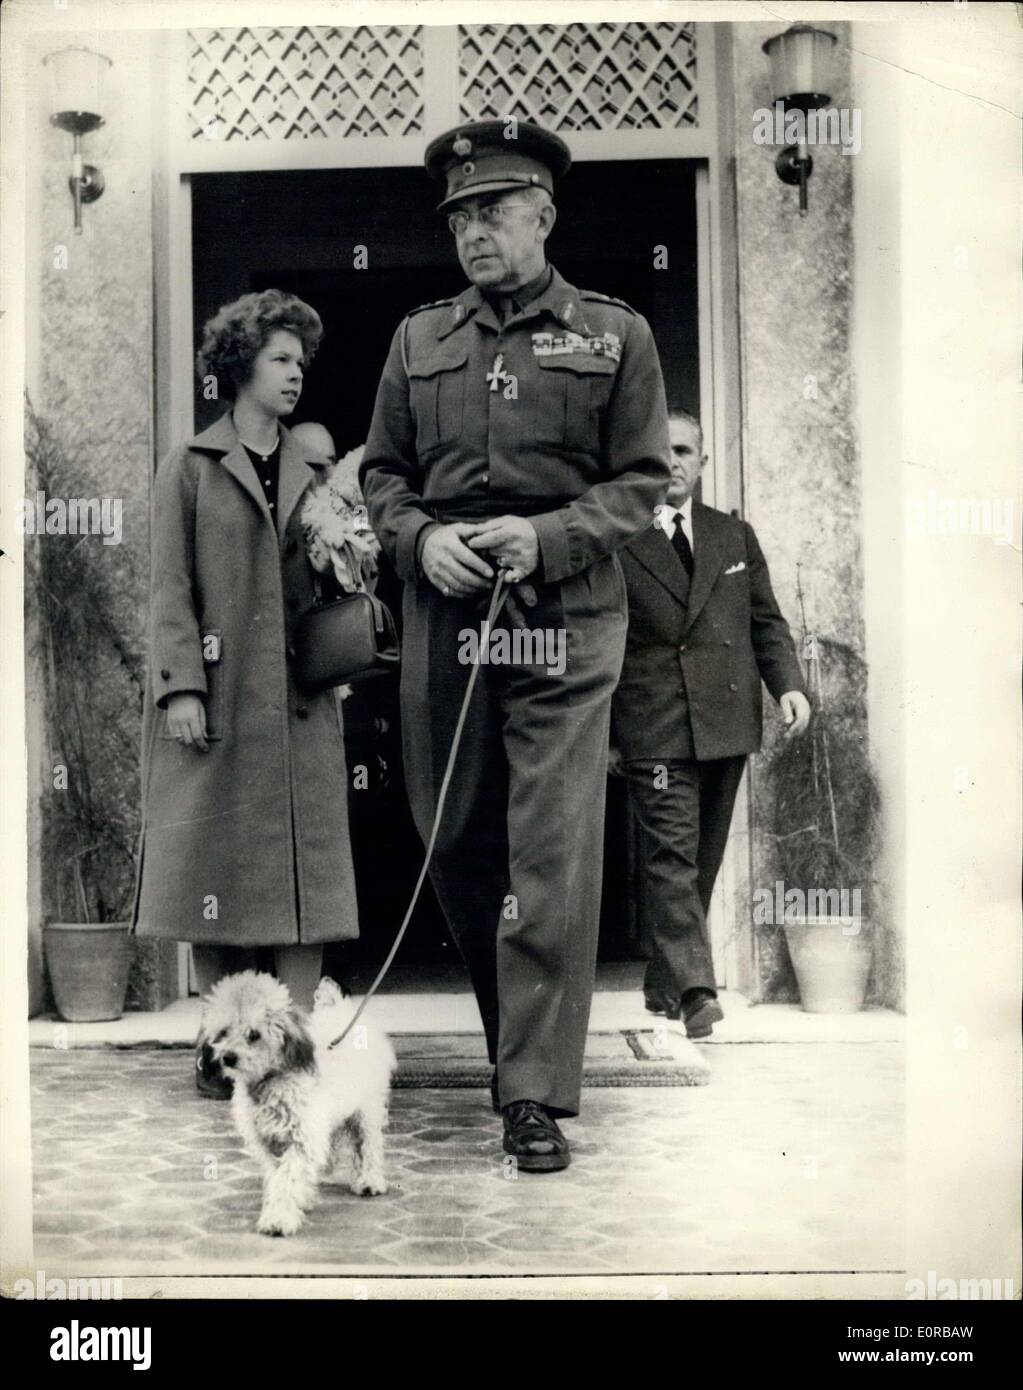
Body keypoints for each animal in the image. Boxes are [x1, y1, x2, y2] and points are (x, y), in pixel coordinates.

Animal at [201, 973, 394, 1234]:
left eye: (254, 1034)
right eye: (223, 1032)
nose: (228, 1058)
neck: (271, 1080)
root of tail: (340, 1010)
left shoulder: (300, 1139)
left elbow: (287, 1178)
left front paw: (279, 1218)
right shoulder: (271, 1143)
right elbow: (279, 1176)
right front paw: (295, 1201)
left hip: (366, 1110)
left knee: (368, 1146)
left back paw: (369, 1181)